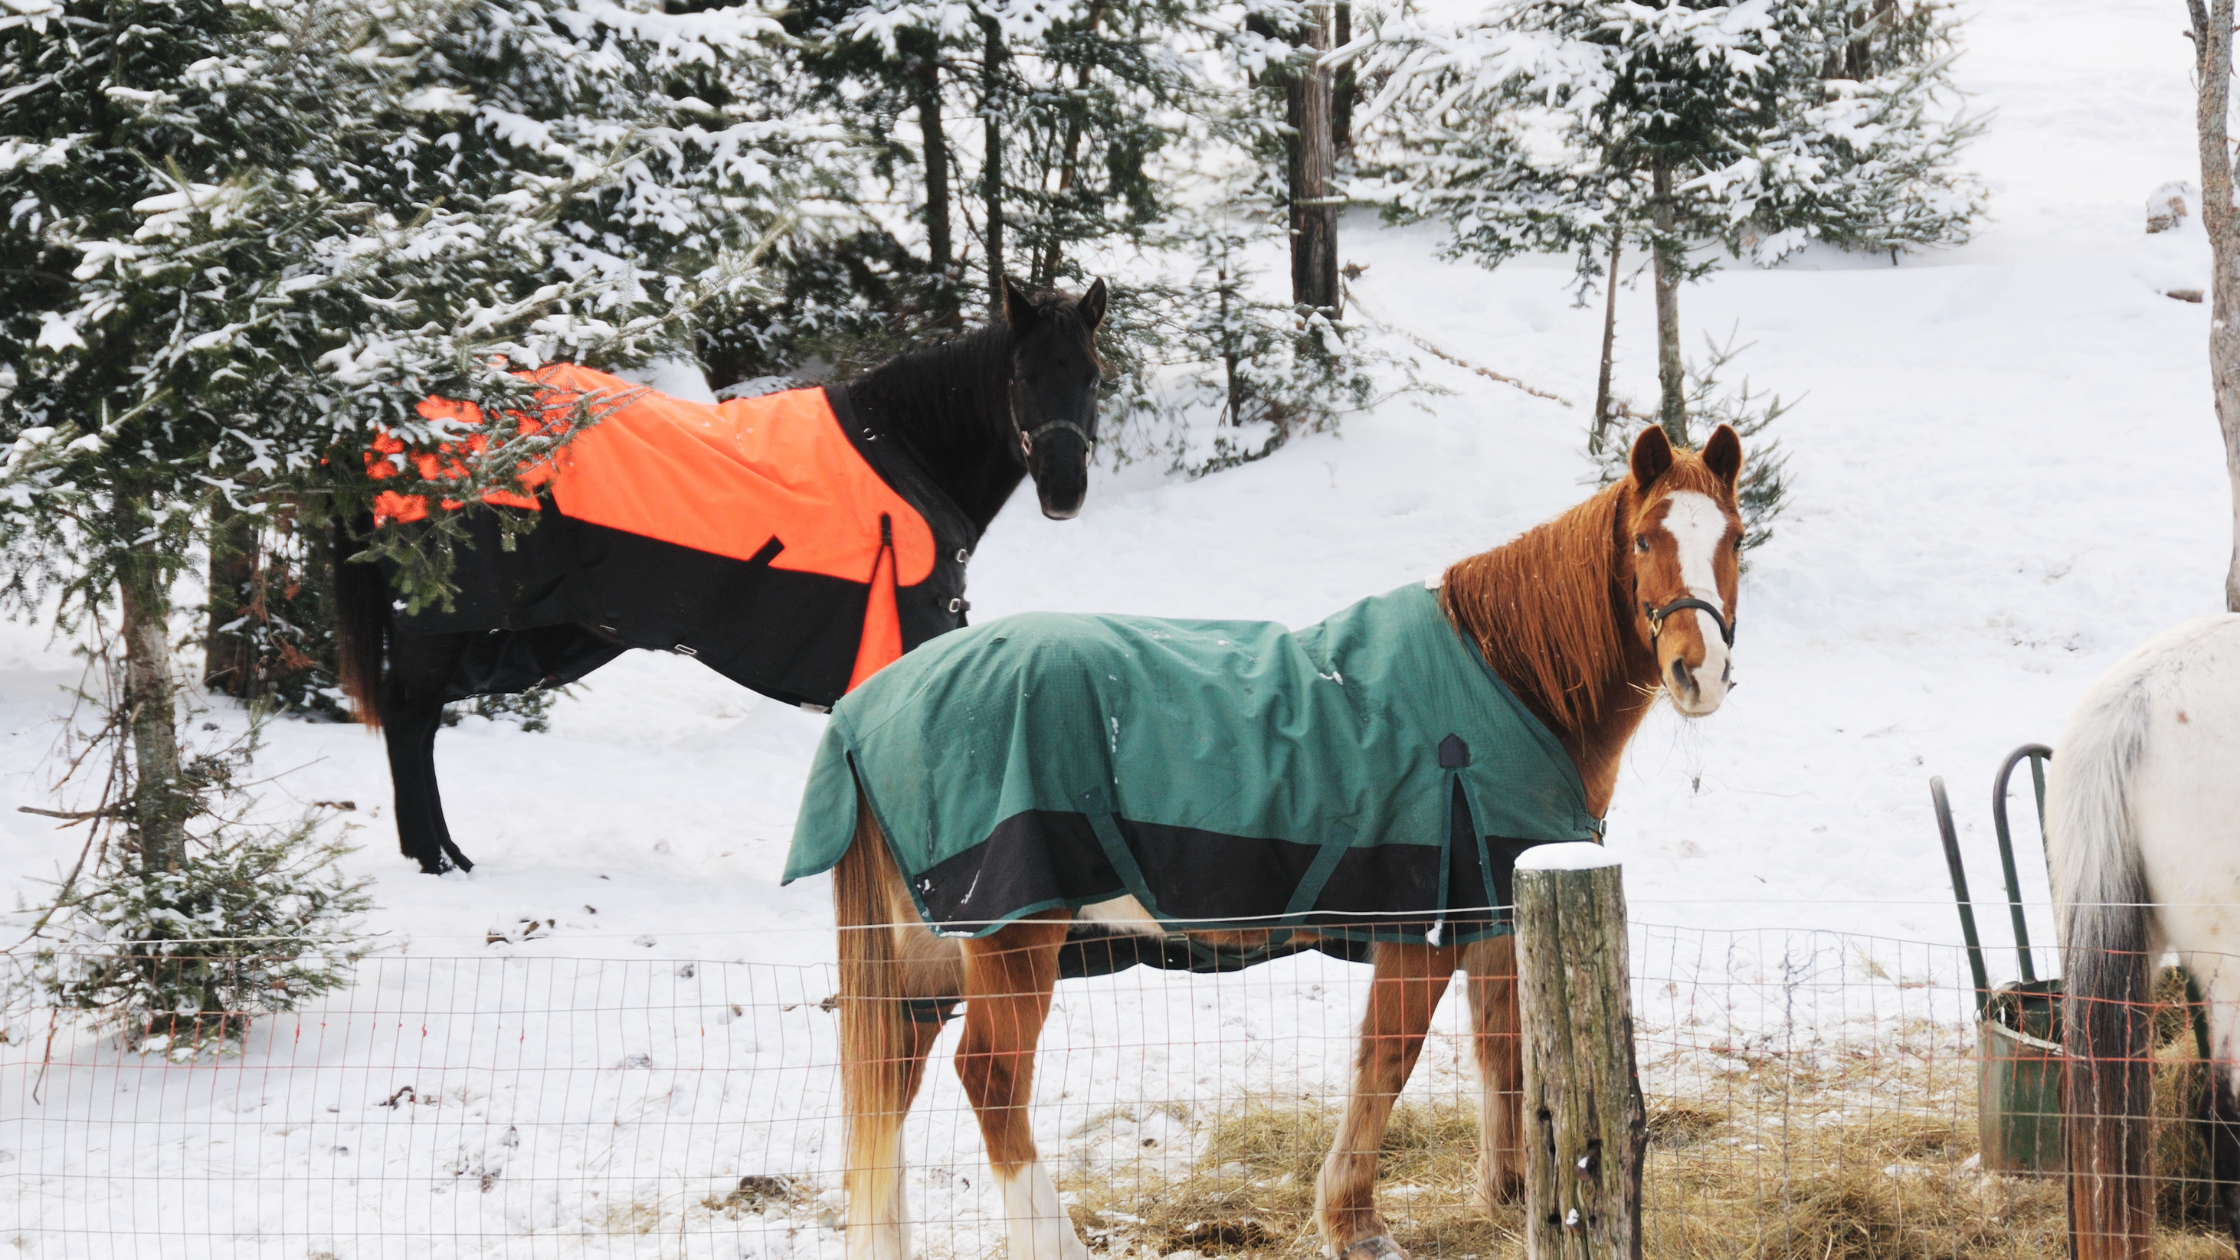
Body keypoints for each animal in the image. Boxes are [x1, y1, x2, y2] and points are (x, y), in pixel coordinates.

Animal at [333, 275, 1111, 869]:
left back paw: (443, 854)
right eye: (1021, 376)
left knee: (424, 719)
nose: (1065, 491)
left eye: (1094, 376)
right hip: (441, 622)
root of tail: (403, 423)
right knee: (408, 717)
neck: (910, 454)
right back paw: (434, 860)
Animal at [833, 423, 1738, 1255]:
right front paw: (1354, 1222)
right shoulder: (1418, 932)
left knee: (893, 1075)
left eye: (1733, 537)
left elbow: (1504, 1053)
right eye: (1644, 538)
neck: (1506, 682)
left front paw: (1509, 1196)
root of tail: (873, 702)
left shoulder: (1494, 917)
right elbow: (1387, 1061)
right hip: (1014, 938)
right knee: (990, 1078)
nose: (1700, 672)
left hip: (930, 953)